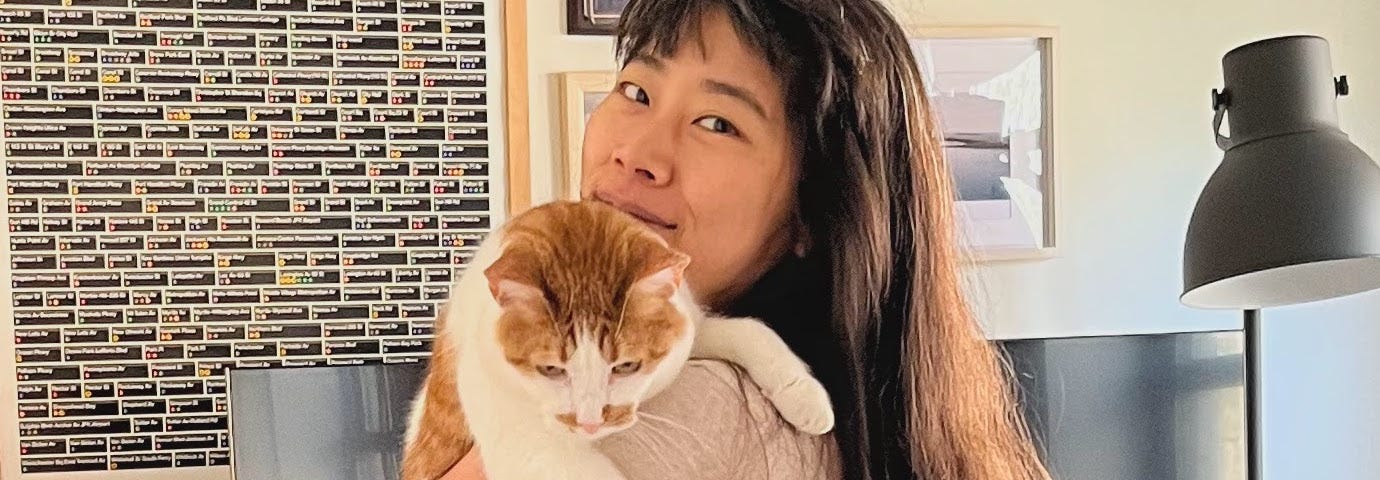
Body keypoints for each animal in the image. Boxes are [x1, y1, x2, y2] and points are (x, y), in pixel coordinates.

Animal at [400, 200, 828, 477]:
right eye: (551, 370)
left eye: (626, 366)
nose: (591, 423)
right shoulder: (520, 434)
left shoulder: (690, 325)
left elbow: (752, 331)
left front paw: (803, 394)